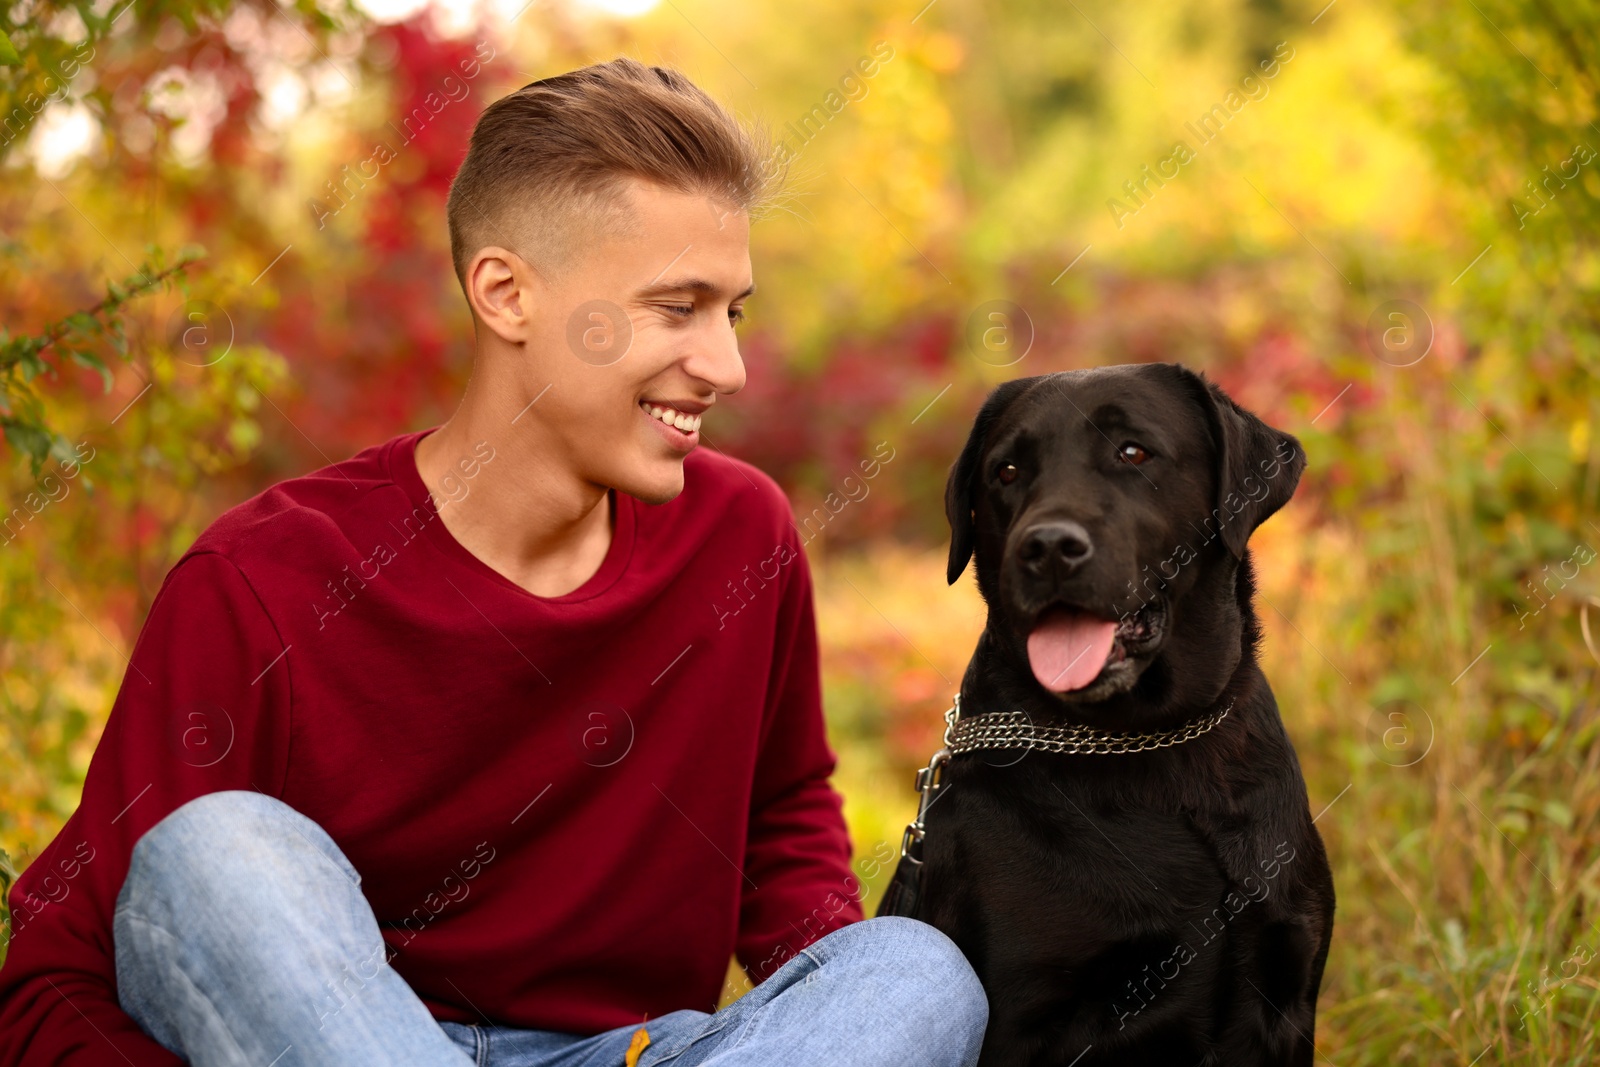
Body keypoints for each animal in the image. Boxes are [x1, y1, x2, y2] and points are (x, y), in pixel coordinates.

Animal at [883, 363, 1331, 1062]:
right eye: (1006, 471)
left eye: (1133, 452)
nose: (1046, 547)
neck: (1154, 740)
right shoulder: (1019, 1019)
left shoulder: (1288, 988)